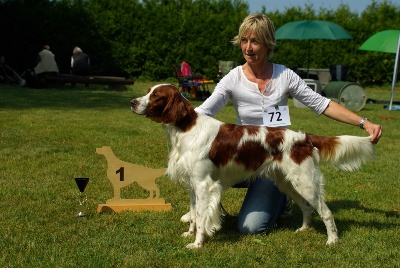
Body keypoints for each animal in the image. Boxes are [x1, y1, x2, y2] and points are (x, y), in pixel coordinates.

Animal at [130, 84, 376, 249]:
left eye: (156, 96)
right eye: (149, 91)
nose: (132, 102)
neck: (186, 128)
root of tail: (303, 137)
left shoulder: (204, 185)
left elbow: (201, 217)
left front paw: (198, 244)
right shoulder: (194, 185)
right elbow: (194, 214)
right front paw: (190, 234)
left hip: (305, 181)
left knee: (325, 212)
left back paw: (332, 240)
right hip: (288, 183)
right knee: (307, 208)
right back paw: (303, 229)